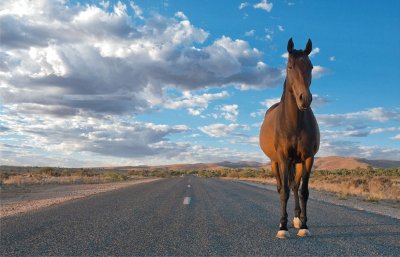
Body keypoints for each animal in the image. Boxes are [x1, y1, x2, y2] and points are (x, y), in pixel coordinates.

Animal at [260, 37, 322, 238]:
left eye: (311, 66)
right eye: (290, 66)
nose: (305, 99)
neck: (294, 123)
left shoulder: (308, 158)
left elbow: (303, 191)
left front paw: (304, 225)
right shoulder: (283, 158)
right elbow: (284, 192)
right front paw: (282, 227)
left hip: (298, 162)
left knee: (295, 186)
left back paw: (296, 219)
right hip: (275, 162)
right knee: (282, 187)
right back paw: (284, 220)